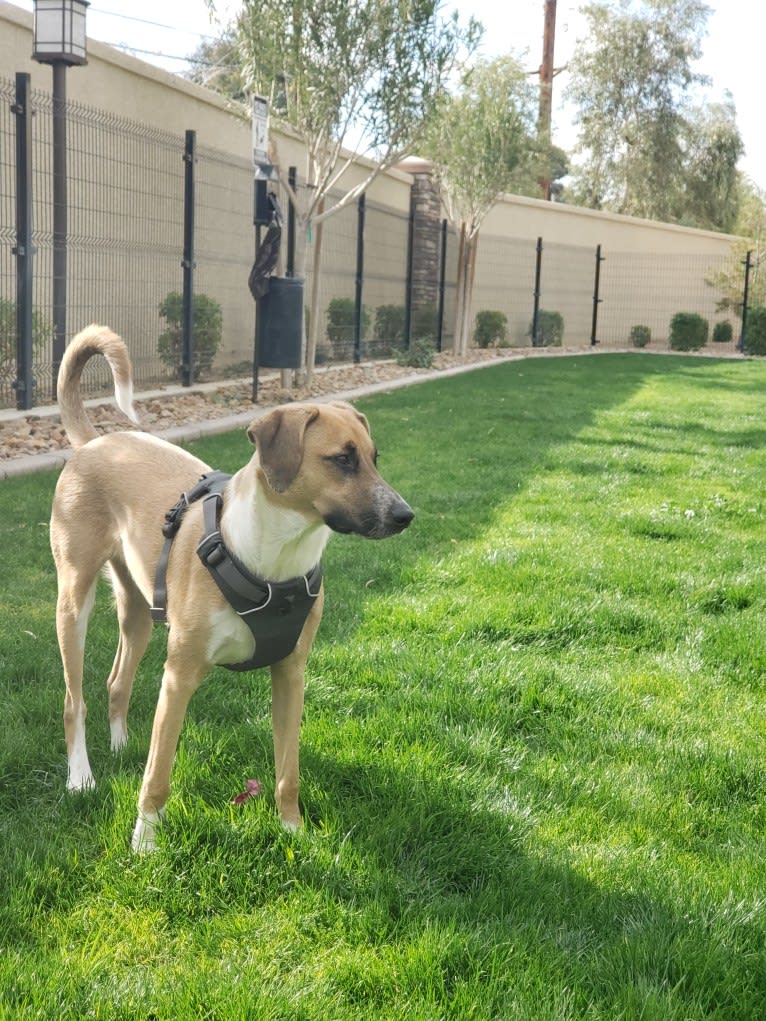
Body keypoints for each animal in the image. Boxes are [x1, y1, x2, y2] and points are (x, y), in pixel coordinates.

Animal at [51, 322, 414, 849]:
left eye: (373, 458)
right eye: (342, 460)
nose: (405, 515)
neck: (274, 559)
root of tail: (93, 443)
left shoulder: (291, 674)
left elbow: (288, 772)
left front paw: (293, 830)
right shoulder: (178, 678)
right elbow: (157, 776)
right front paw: (145, 844)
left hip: (138, 611)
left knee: (116, 682)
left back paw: (120, 746)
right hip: (73, 604)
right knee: (72, 701)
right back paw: (81, 777)